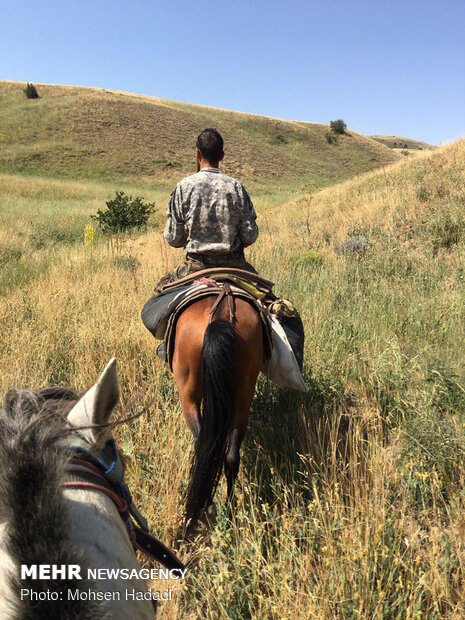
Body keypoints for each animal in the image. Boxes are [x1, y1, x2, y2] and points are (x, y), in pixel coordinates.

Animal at [172, 296, 264, 532]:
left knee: (202, 447)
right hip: (243, 396)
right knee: (230, 457)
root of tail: (221, 313)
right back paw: (230, 513)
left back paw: (204, 508)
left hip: (188, 396)